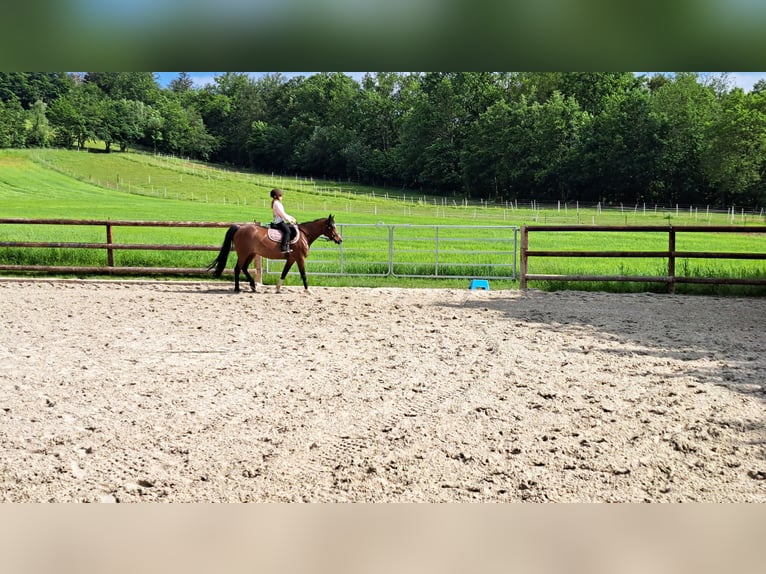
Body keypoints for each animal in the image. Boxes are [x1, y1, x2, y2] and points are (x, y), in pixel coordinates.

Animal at [208, 217, 344, 296]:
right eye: (331, 226)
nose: (340, 240)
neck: (304, 234)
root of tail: (240, 227)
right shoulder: (300, 258)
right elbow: (303, 274)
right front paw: (308, 290)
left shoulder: (291, 259)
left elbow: (284, 272)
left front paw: (278, 289)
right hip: (243, 253)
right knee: (237, 268)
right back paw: (237, 289)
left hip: (251, 254)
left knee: (244, 268)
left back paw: (253, 286)